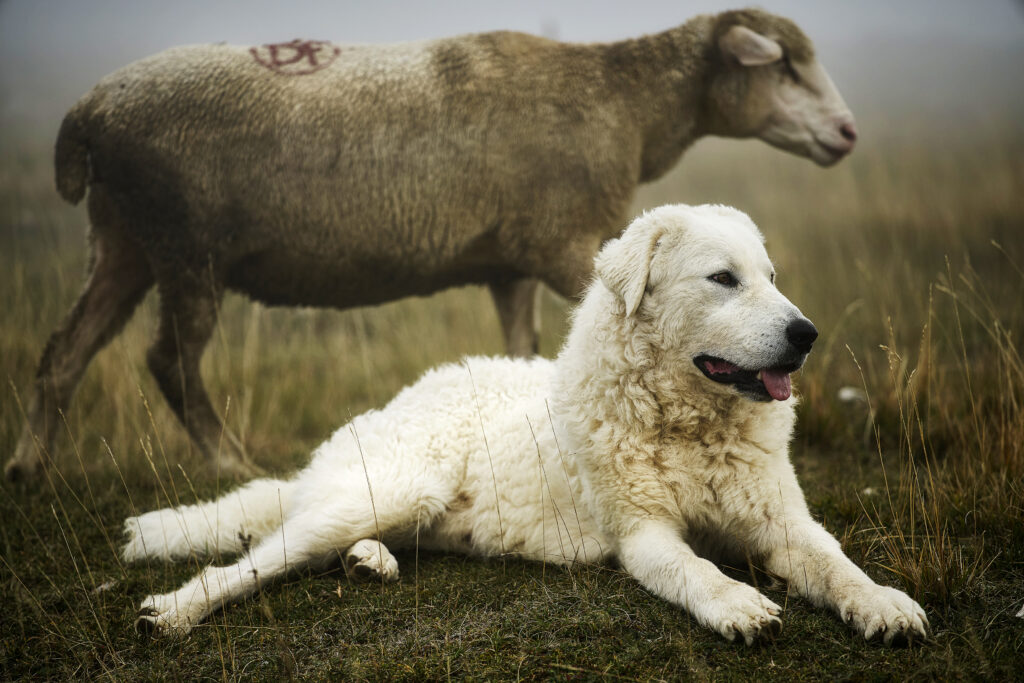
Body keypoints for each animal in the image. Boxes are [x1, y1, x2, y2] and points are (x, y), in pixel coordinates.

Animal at [8, 9, 856, 481]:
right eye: (784, 65)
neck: (626, 102)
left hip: (123, 238)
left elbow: (521, 348)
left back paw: (28, 467)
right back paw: (228, 461)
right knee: (170, 361)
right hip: (185, 244)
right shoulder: (563, 241)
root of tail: (86, 114)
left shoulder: (512, 261)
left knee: (63, 353)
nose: (848, 133)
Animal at [119, 202, 929, 647]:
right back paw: (172, 612)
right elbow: (695, 569)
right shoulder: (643, 534)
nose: (806, 334)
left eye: (770, 276)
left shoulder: (781, 522)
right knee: (253, 562)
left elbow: (838, 564)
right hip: (391, 489)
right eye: (723, 279)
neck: (684, 425)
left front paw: (884, 604)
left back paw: (369, 562)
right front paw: (736, 602)